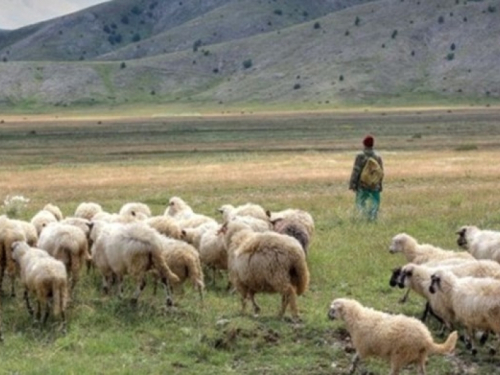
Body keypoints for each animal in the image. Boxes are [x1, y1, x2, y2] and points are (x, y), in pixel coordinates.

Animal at [328, 300, 458, 375]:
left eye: (332, 310)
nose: (328, 316)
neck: (357, 317)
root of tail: (427, 339)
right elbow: (355, 359)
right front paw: (351, 370)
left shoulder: (363, 347)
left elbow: (356, 358)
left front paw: (351, 369)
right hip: (419, 357)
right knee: (421, 372)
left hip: (399, 355)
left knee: (395, 372)